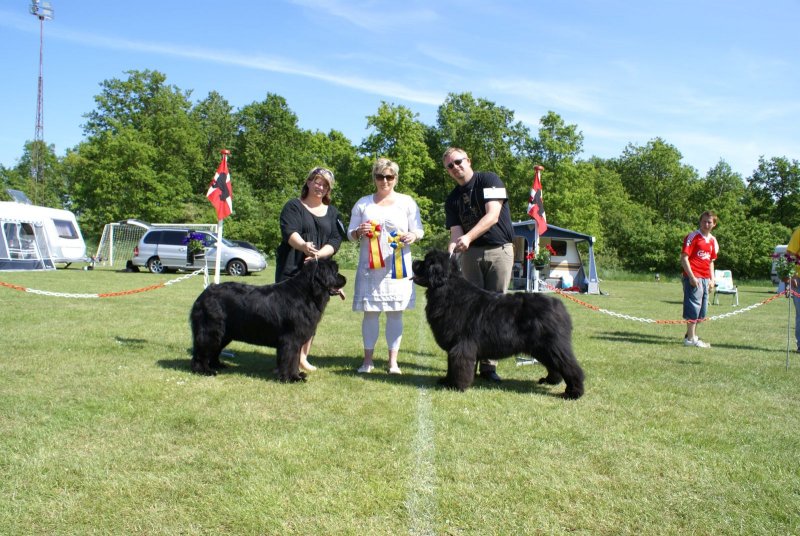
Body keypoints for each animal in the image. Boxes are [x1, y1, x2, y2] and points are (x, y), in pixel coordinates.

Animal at [189, 258, 346, 382]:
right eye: (335, 271)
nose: (345, 279)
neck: (307, 293)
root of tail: (204, 294)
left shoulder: (296, 340)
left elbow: (295, 359)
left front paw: (297, 375)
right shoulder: (290, 339)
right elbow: (290, 359)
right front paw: (291, 378)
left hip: (224, 334)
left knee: (214, 350)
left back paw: (218, 365)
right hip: (211, 330)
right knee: (202, 351)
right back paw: (204, 370)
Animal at [412, 250, 584, 399]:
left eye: (426, 262)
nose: (414, 261)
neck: (446, 289)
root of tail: (559, 305)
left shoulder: (461, 346)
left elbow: (458, 365)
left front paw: (456, 386)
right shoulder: (454, 347)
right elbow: (450, 365)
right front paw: (446, 381)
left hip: (552, 345)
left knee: (570, 366)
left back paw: (573, 393)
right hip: (543, 348)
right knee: (555, 365)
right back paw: (550, 380)